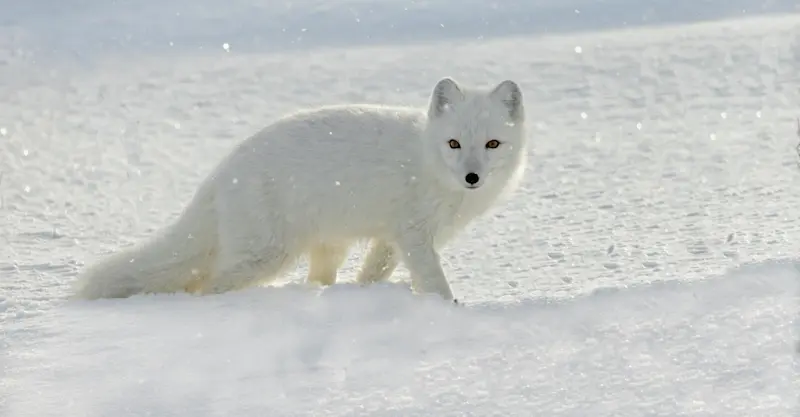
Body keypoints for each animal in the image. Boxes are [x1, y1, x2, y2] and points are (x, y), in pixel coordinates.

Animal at [72, 77, 528, 302]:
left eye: (492, 144)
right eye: (454, 143)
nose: (472, 178)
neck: (428, 161)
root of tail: (222, 172)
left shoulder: (392, 240)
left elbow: (374, 273)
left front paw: (370, 296)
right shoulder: (414, 235)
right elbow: (434, 281)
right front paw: (450, 309)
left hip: (327, 245)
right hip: (265, 257)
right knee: (208, 285)